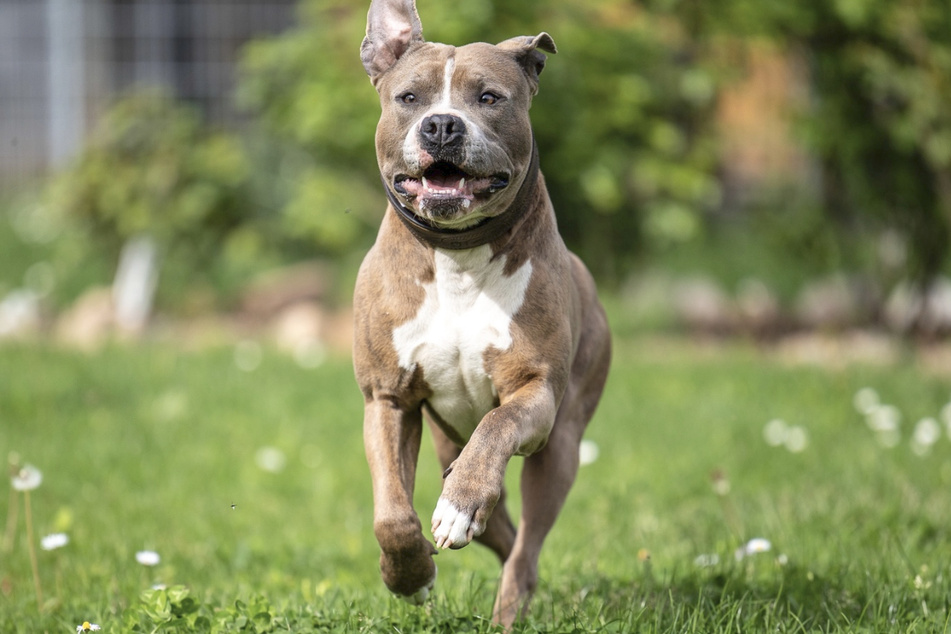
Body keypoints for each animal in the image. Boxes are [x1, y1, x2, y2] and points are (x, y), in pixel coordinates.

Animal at [354, 0, 612, 624]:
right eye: (409, 97)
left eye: (489, 98)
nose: (443, 125)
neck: (457, 257)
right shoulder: (387, 399)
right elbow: (392, 514)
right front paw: (410, 577)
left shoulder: (535, 393)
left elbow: (498, 425)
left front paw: (459, 505)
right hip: (447, 441)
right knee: (504, 532)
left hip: (561, 447)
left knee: (526, 546)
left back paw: (506, 607)